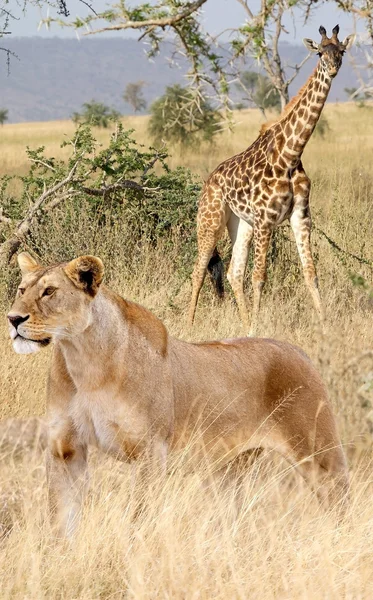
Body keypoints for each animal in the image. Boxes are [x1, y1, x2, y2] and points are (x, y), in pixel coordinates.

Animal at [187, 25, 354, 336]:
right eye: (319, 52)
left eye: (342, 50)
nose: (333, 68)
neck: (291, 154)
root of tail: (209, 180)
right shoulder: (266, 219)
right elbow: (260, 276)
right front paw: (258, 329)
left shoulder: (300, 216)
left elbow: (310, 273)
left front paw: (325, 327)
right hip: (210, 220)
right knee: (199, 270)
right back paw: (190, 326)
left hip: (241, 223)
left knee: (233, 272)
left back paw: (243, 326)